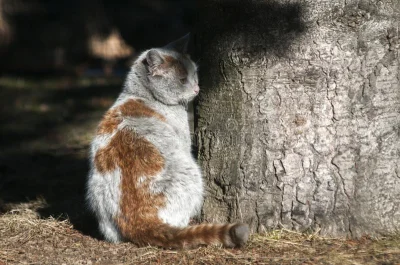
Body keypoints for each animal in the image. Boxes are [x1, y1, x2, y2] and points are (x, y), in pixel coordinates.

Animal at [86, 35, 250, 248]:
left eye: (195, 74)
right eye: (182, 80)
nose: (197, 88)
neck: (139, 95)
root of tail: (140, 222)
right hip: (192, 174)